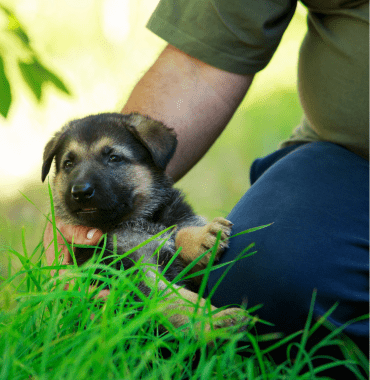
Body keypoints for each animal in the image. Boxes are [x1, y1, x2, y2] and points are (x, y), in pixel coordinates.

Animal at [42, 112, 247, 332]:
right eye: (68, 164)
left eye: (114, 158)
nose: (80, 191)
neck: (136, 220)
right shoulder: (131, 273)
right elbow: (176, 298)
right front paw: (214, 318)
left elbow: (177, 232)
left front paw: (200, 238)